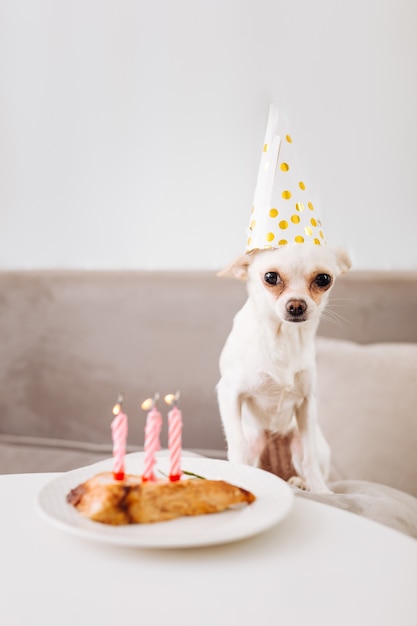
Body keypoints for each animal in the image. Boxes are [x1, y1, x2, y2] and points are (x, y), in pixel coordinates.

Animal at [216, 244, 350, 492]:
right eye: (270, 277)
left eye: (323, 279)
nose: (296, 305)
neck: (284, 338)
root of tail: (277, 473)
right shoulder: (229, 393)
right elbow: (238, 445)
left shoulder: (307, 403)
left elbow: (309, 456)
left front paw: (322, 491)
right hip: (256, 440)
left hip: (303, 443)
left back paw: (302, 483)